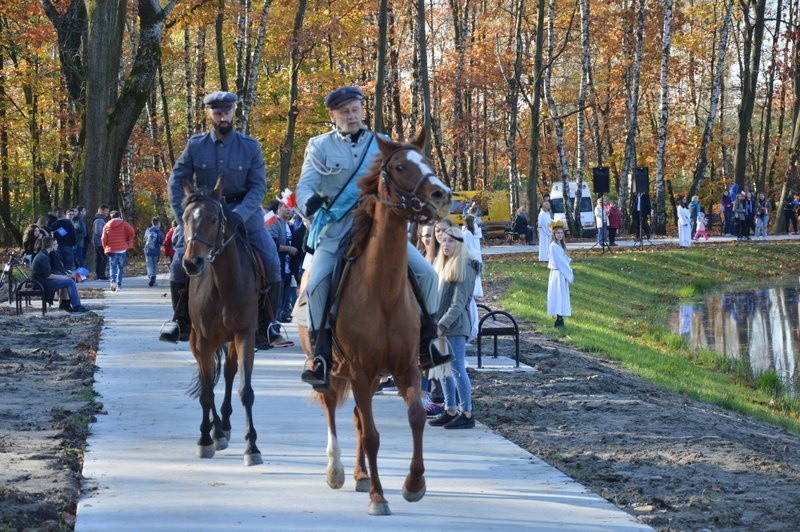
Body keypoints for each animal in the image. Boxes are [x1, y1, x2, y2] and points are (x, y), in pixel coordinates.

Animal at [181, 176, 262, 466]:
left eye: (215, 218)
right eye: (184, 217)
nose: (192, 263)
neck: (222, 283)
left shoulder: (244, 334)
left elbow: (245, 390)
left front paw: (252, 447)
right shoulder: (204, 340)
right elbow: (206, 392)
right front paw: (205, 439)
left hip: (230, 340)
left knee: (228, 374)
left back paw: (224, 426)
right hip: (197, 341)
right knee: (209, 379)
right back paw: (216, 430)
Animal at [304, 129, 450, 516]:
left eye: (426, 161)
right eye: (399, 167)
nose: (441, 195)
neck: (382, 289)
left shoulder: (405, 367)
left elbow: (416, 417)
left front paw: (414, 484)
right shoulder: (359, 369)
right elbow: (371, 435)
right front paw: (378, 497)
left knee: (356, 418)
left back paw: (359, 475)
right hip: (332, 369)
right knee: (331, 408)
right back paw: (337, 470)